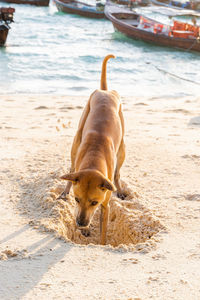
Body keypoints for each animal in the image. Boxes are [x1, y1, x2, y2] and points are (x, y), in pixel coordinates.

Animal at [59, 54, 125, 245]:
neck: (95, 158)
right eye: (76, 199)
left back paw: (120, 190)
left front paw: (101, 245)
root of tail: (105, 91)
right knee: (71, 168)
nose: (81, 223)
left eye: (94, 203)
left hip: (123, 147)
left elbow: (103, 233)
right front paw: (86, 230)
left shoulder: (105, 205)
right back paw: (65, 190)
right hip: (77, 139)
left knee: (117, 173)